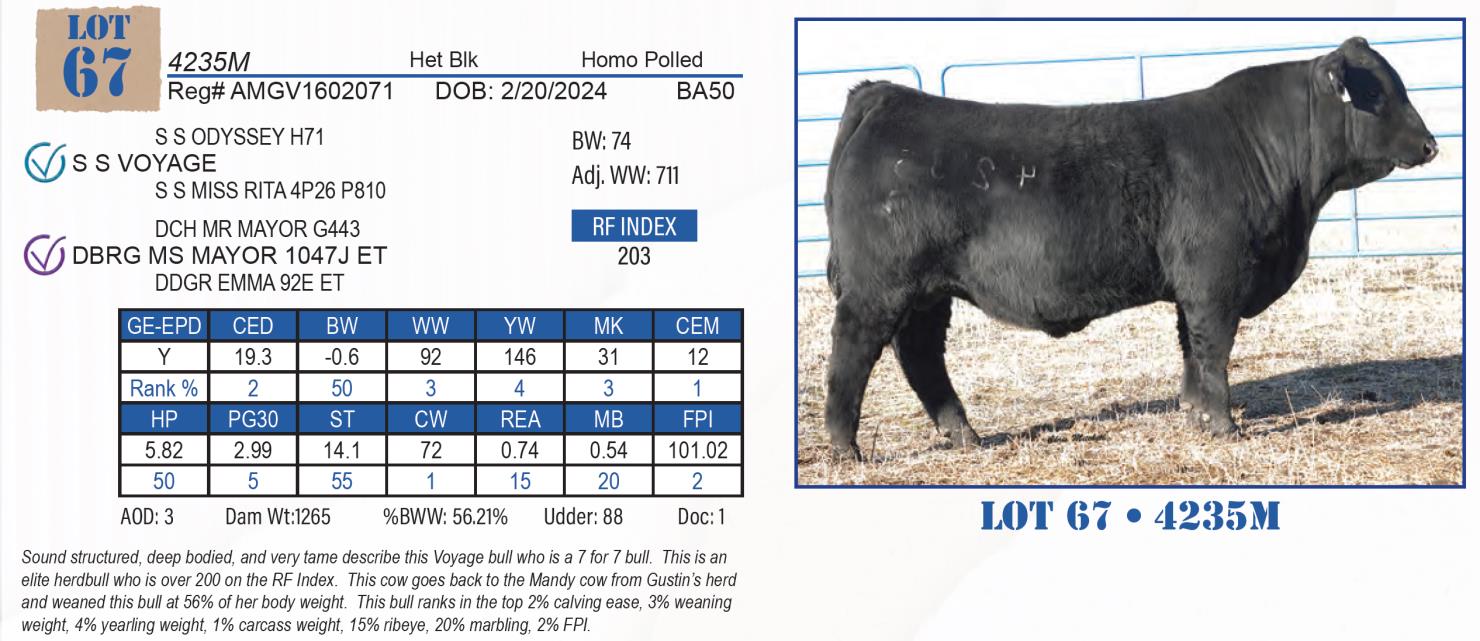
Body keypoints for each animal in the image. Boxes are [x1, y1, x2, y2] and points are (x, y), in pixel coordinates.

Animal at [822, 37, 1438, 460]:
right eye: (1379, 92)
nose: (1432, 144)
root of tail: (886, 96)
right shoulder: (1215, 281)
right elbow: (1213, 351)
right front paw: (1224, 427)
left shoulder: (1192, 288)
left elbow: (1191, 351)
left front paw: (1195, 418)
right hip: (880, 287)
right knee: (853, 351)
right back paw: (846, 448)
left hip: (927, 293)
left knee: (921, 356)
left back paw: (965, 436)